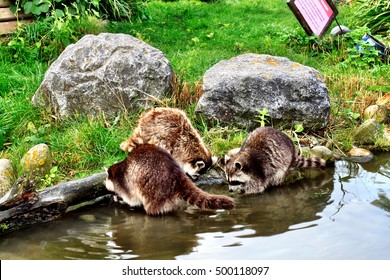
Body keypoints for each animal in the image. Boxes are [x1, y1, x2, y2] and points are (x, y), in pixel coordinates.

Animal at [106, 143, 235, 215]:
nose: (113, 196)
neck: (118, 168)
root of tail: (176, 174)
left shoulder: (125, 181)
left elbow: (132, 199)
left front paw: (122, 200)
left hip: (154, 188)